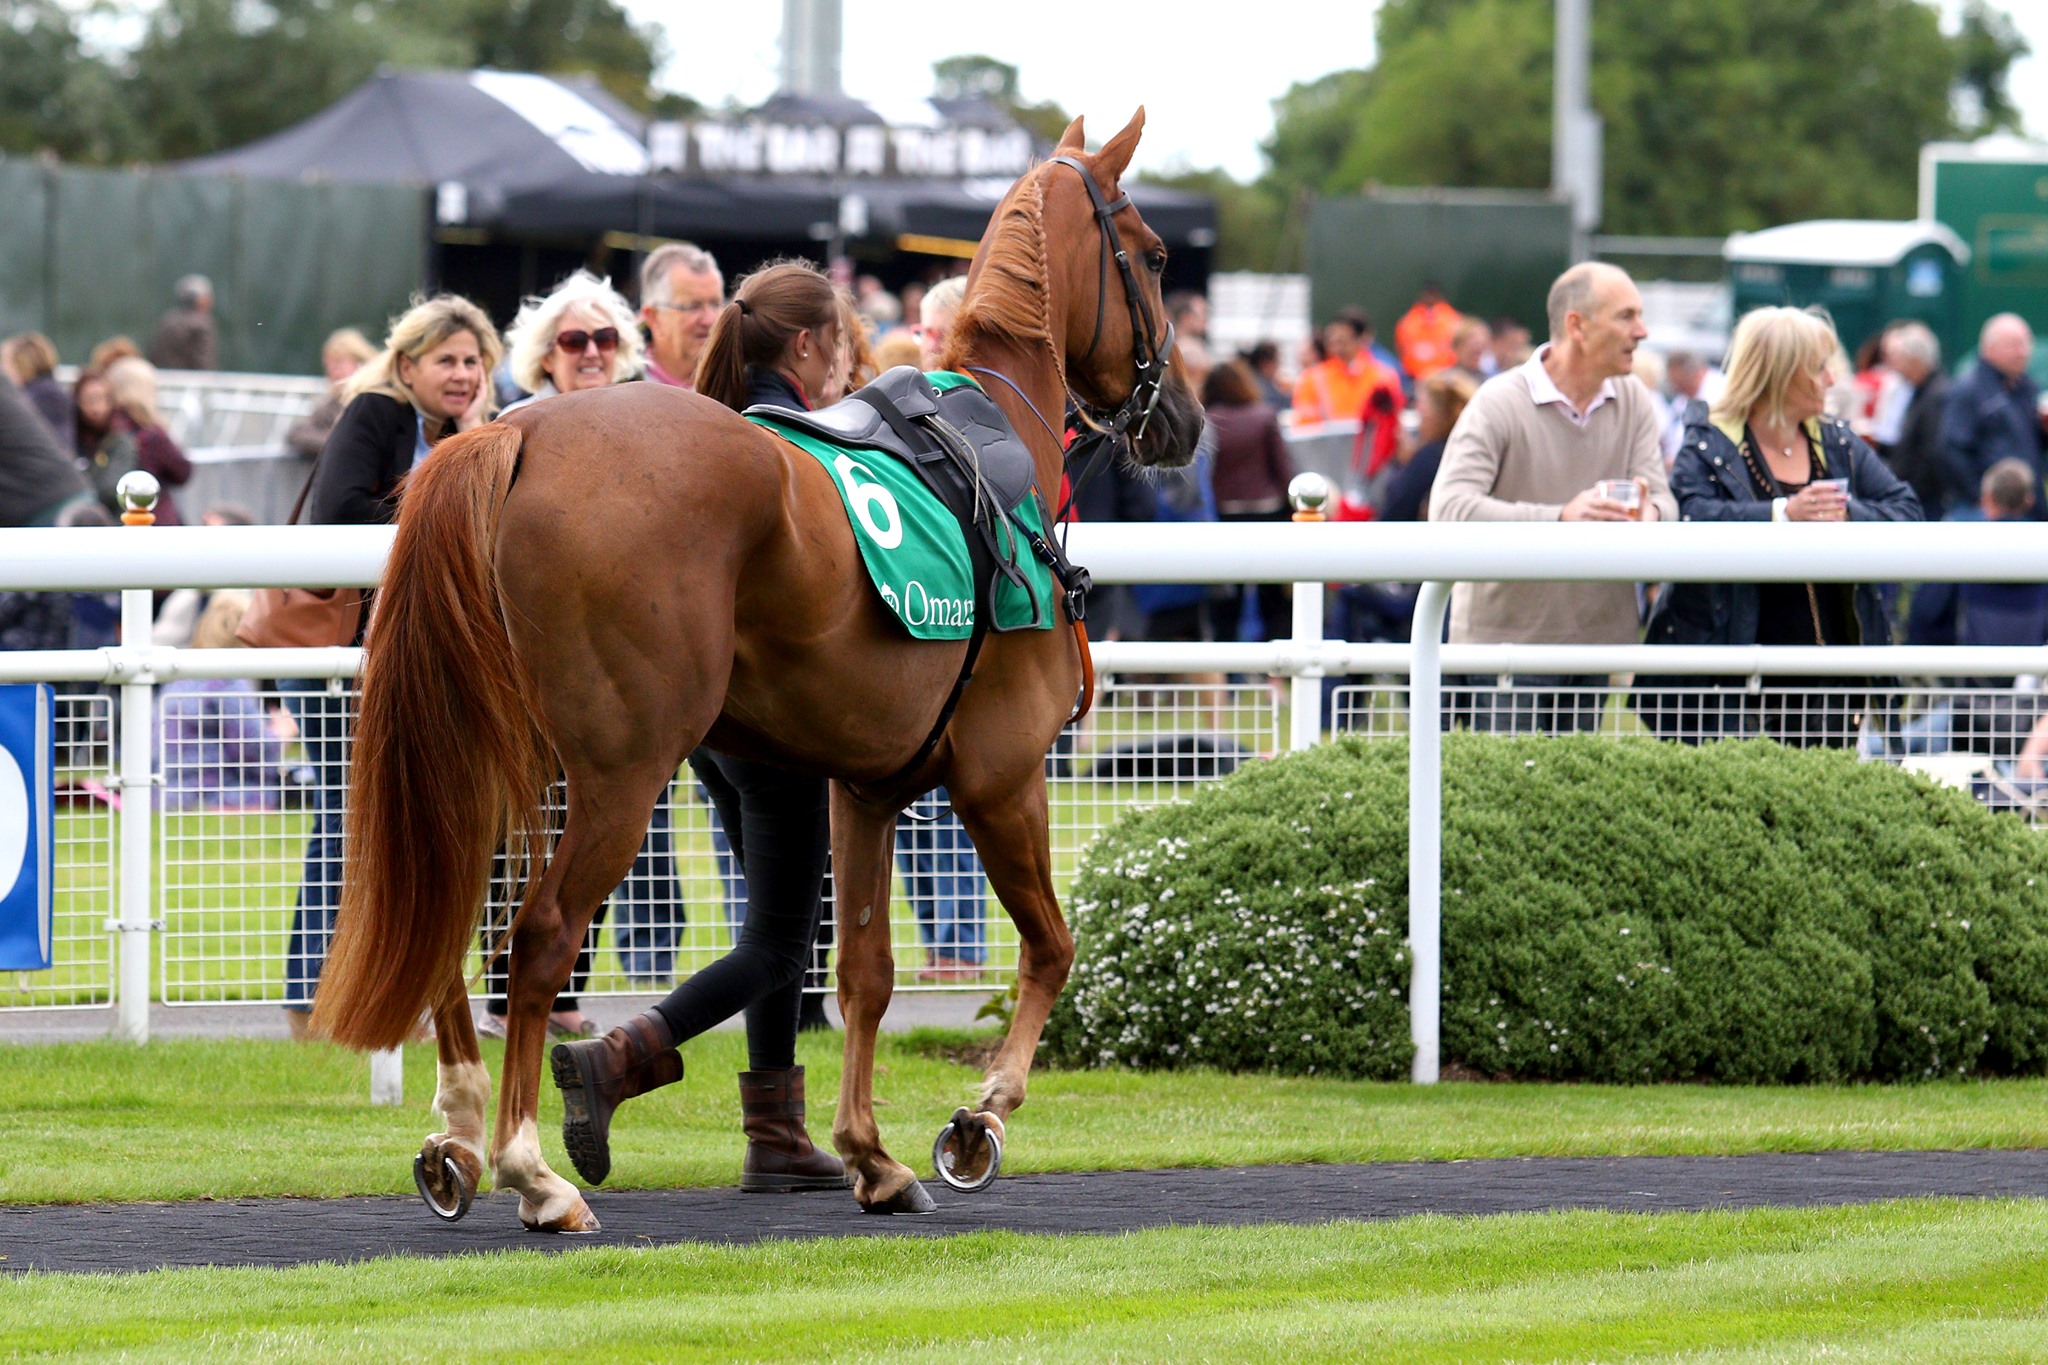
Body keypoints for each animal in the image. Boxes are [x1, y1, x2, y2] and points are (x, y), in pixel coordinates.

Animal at [309, 109, 1202, 1230]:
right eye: (1155, 255)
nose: (1185, 420)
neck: (995, 446)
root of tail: (510, 433)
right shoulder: (1001, 775)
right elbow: (1051, 945)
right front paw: (978, 1117)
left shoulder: (866, 789)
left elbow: (863, 971)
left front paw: (870, 1154)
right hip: (622, 769)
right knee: (539, 933)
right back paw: (530, 1166)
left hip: (505, 756)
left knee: (457, 915)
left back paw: (460, 1135)